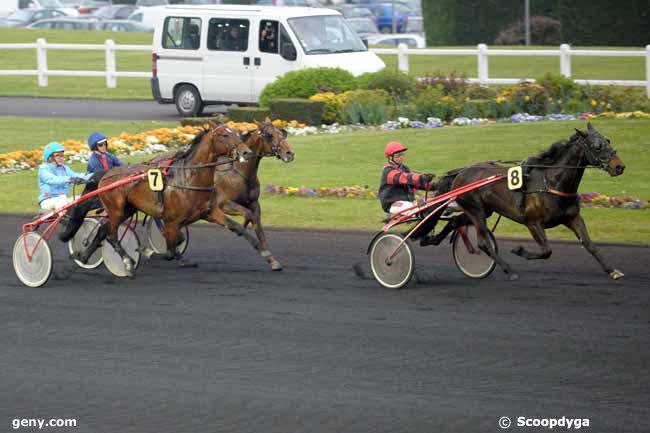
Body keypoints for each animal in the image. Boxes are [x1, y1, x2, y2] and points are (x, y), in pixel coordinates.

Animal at [73, 120, 251, 274]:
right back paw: (127, 262)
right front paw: (149, 251)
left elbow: (177, 240)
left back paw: (83, 256)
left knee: (103, 229)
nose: (246, 152)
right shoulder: (172, 220)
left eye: (236, 132)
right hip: (116, 209)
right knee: (111, 235)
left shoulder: (203, 212)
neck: (188, 177)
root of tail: (106, 175)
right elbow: (172, 246)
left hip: (127, 209)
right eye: (225, 135)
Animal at [436, 122, 624, 280]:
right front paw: (519, 250)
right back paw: (509, 270)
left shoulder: (573, 218)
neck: (551, 182)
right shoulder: (532, 222)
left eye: (608, 140)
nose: (619, 166)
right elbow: (546, 251)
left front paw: (612, 270)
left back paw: (434, 239)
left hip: (481, 210)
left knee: (454, 222)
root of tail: (460, 172)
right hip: (476, 211)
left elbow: (589, 244)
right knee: (483, 243)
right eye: (597, 146)